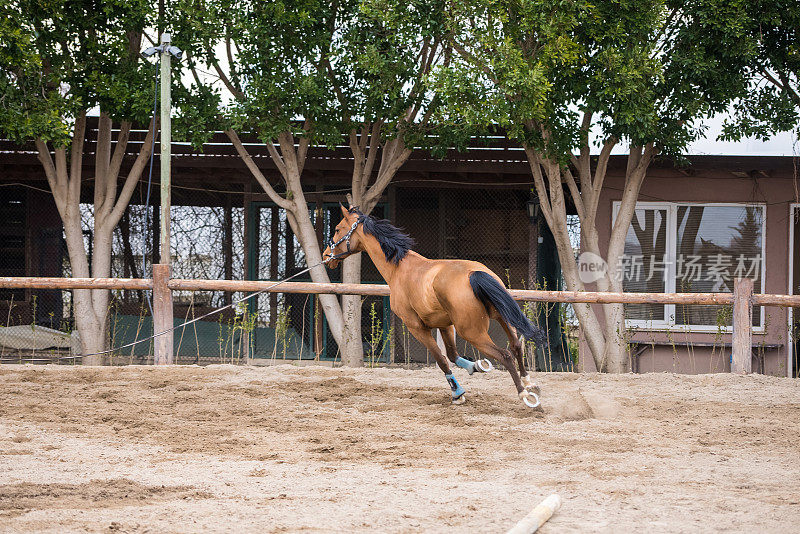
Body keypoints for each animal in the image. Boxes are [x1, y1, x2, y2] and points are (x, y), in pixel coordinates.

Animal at [322, 205, 548, 410]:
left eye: (337, 228)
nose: (325, 256)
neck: (399, 268)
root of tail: (474, 274)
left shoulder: (416, 327)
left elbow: (441, 359)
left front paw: (458, 394)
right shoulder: (445, 325)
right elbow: (453, 355)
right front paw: (477, 366)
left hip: (472, 332)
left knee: (505, 355)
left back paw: (526, 397)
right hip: (501, 318)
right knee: (516, 346)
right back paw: (530, 384)